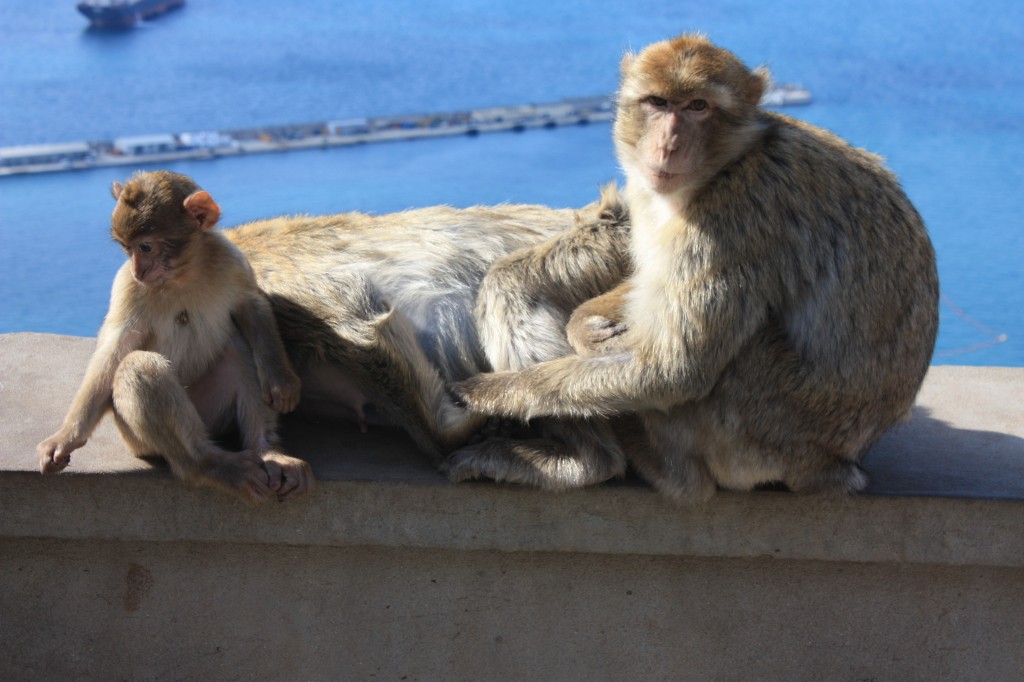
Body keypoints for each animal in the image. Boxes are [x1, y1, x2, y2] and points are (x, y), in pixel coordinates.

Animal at [37, 170, 313, 503]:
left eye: (145, 247)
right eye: (126, 248)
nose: (139, 271)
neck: (183, 274)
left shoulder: (231, 259)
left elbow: (252, 306)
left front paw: (280, 380)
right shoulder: (127, 287)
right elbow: (114, 351)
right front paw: (66, 437)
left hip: (212, 413)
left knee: (236, 346)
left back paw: (268, 451)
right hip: (137, 438)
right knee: (138, 366)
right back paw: (212, 466)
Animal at [449, 33, 940, 501]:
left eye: (698, 106)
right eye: (658, 102)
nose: (668, 143)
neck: (728, 163)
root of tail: (840, 464)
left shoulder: (730, 218)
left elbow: (673, 372)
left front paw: (492, 393)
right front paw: (586, 323)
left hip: (765, 434)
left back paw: (653, 464)